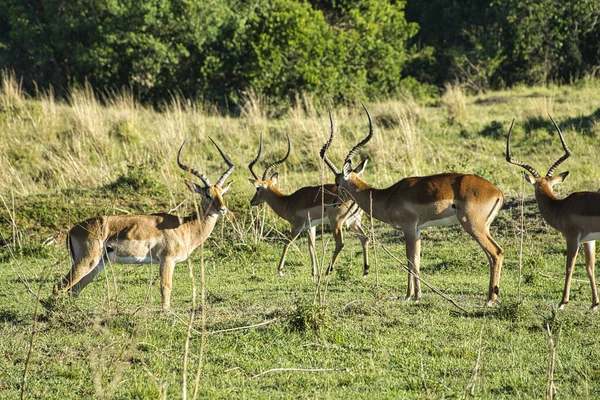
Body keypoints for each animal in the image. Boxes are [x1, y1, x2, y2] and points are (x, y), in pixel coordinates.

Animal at [53, 138, 234, 310]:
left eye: (222, 193)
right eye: (207, 194)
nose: (223, 209)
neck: (184, 227)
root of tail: (72, 230)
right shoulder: (166, 260)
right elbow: (166, 288)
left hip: (97, 265)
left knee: (74, 290)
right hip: (86, 262)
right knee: (59, 287)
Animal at [246, 126, 368, 276]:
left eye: (257, 188)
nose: (252, 201)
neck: (288, 202)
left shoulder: (297, 226)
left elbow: (287, 243)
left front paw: (280, 271)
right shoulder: (311, 227)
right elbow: (311, 246)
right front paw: (314, 272)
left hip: (336, 223)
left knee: (340, 243)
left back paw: (328, 271)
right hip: (354, 222)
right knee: (364, 238)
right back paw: (365, 271)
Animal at [322, 104, 504, 304]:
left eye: (338, 183)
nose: (333, 203)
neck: (388, 196)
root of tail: (497, 192)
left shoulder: (408, 227)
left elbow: (409, 259)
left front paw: (412, 295)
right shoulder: (417, 230)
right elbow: (416, 259)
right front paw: (415, 294)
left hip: (473, 225)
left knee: (496, 252)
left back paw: (490, 300)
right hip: (484, 227)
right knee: (492, 255)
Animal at [508, 115, 596, 310]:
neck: (561, 206)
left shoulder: (572, 238)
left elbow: (569, 267)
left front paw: (563, 302)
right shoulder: (589, 240)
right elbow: (590, 267)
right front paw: (595, 304)